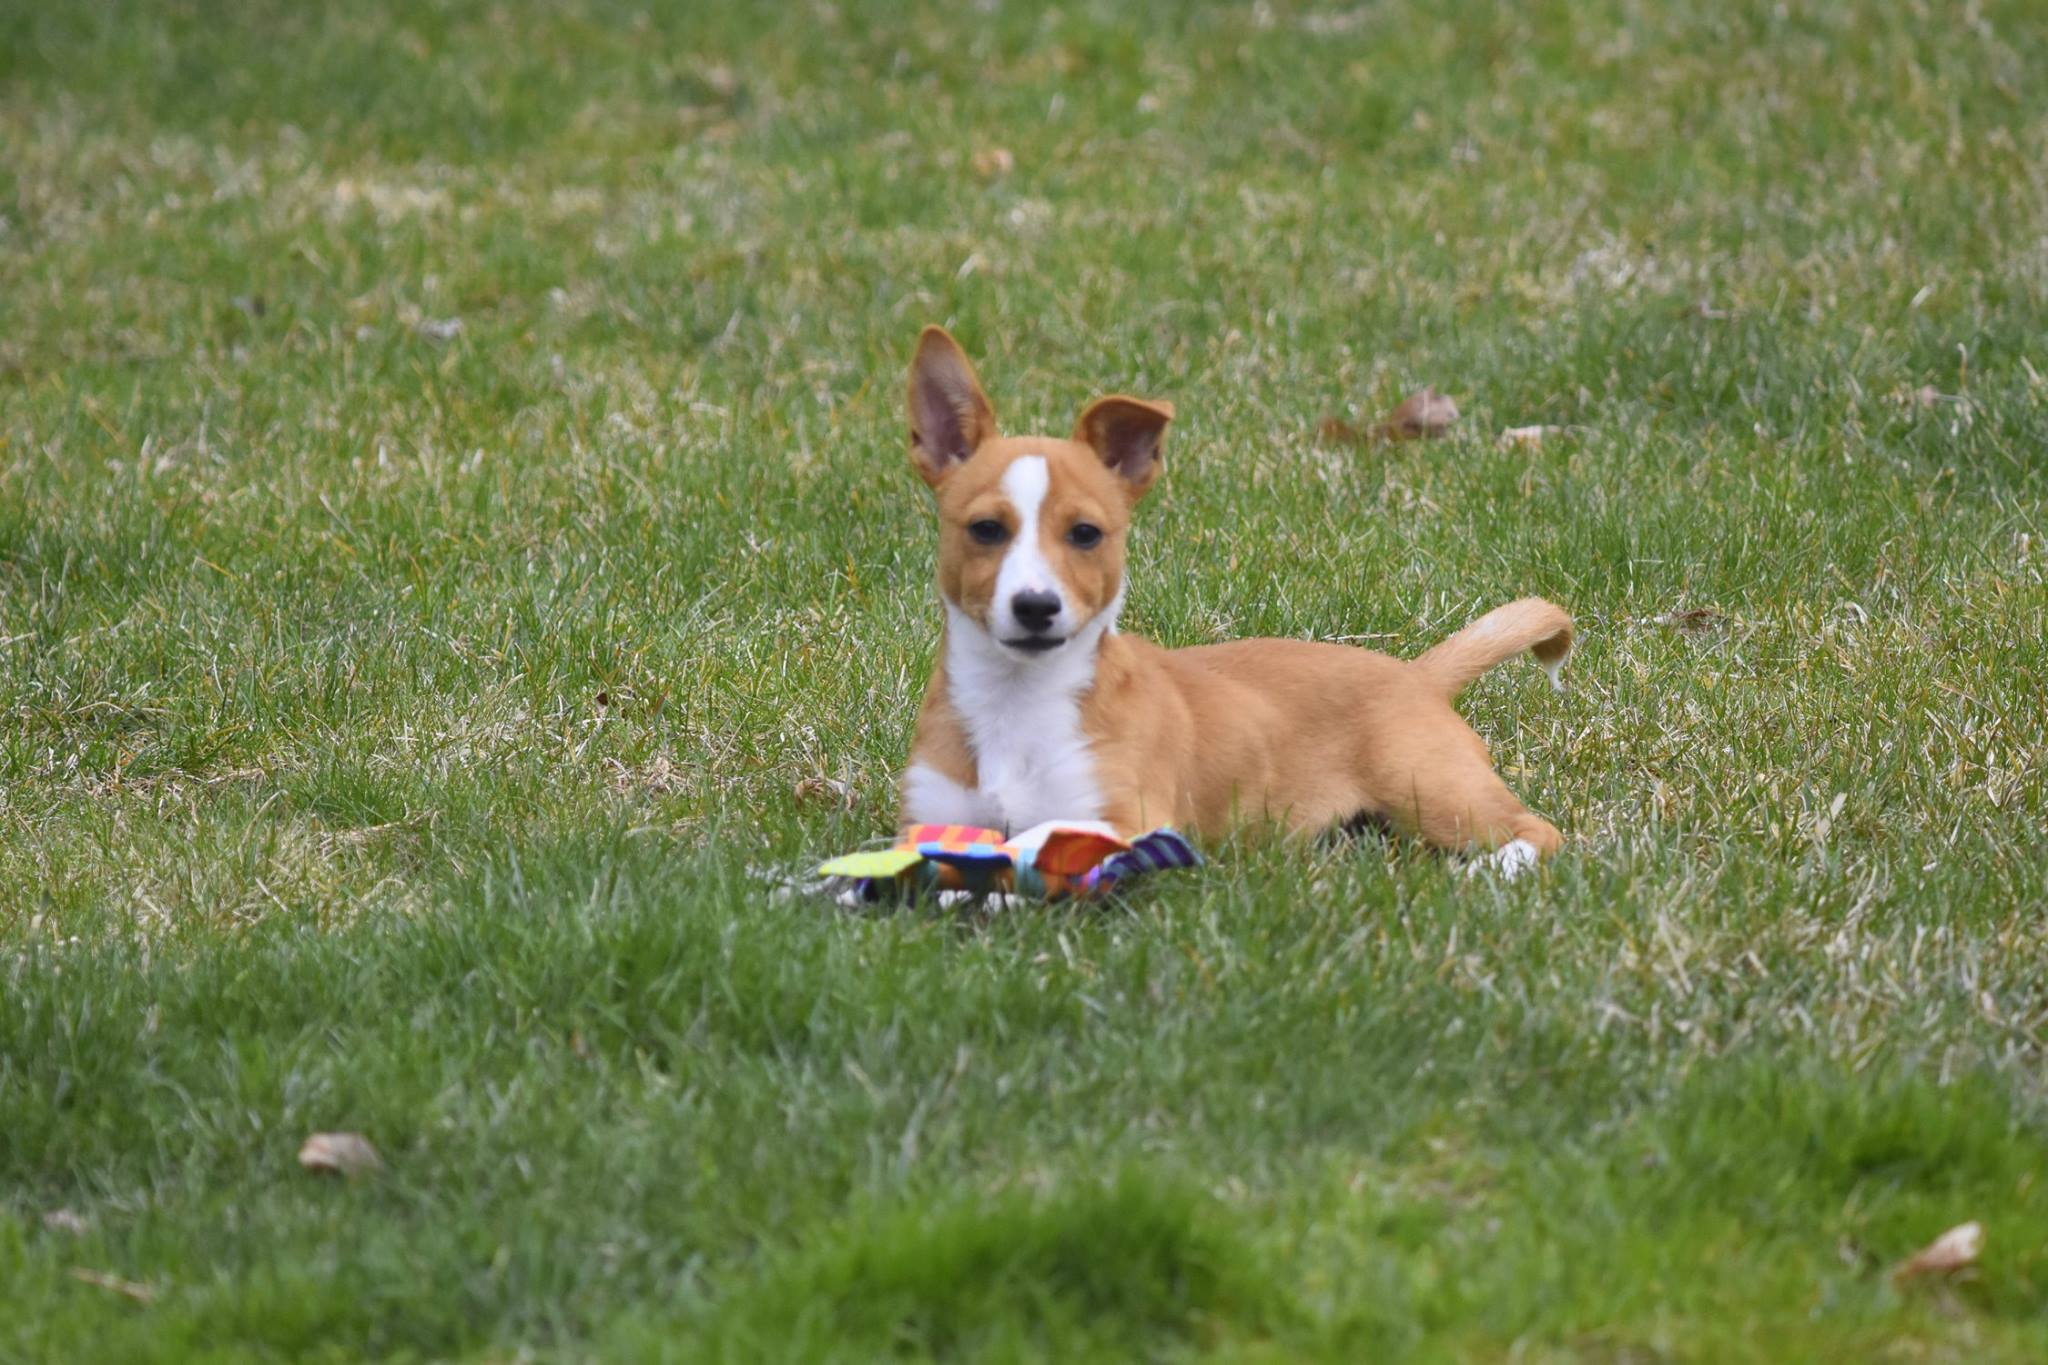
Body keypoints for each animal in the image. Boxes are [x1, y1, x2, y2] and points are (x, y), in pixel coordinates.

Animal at [897, 327, 1564, 875]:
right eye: (986, 529)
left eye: (1085, 533)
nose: (1036, 607)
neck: (1017, 701)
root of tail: (1417, 676)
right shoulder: (933, 818)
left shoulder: (1122, 821)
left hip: (1431, 788)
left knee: (1536, 831)